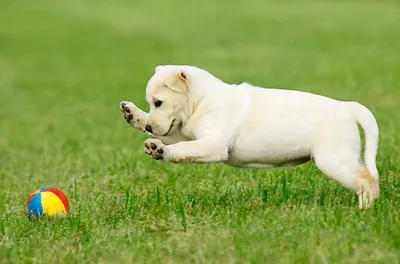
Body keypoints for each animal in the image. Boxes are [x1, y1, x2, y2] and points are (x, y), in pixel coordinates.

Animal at [120, 64, 380, 208]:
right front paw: (134, 115)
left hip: (334, 159)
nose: (151, 127)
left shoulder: (212, 144)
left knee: (367, 180)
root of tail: (348, 108)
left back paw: (363, 211)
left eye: (159, 102)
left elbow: (182, 149)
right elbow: (176, 139)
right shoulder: (187, 133)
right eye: (152, 103)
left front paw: (159, 149)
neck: (203, 99)